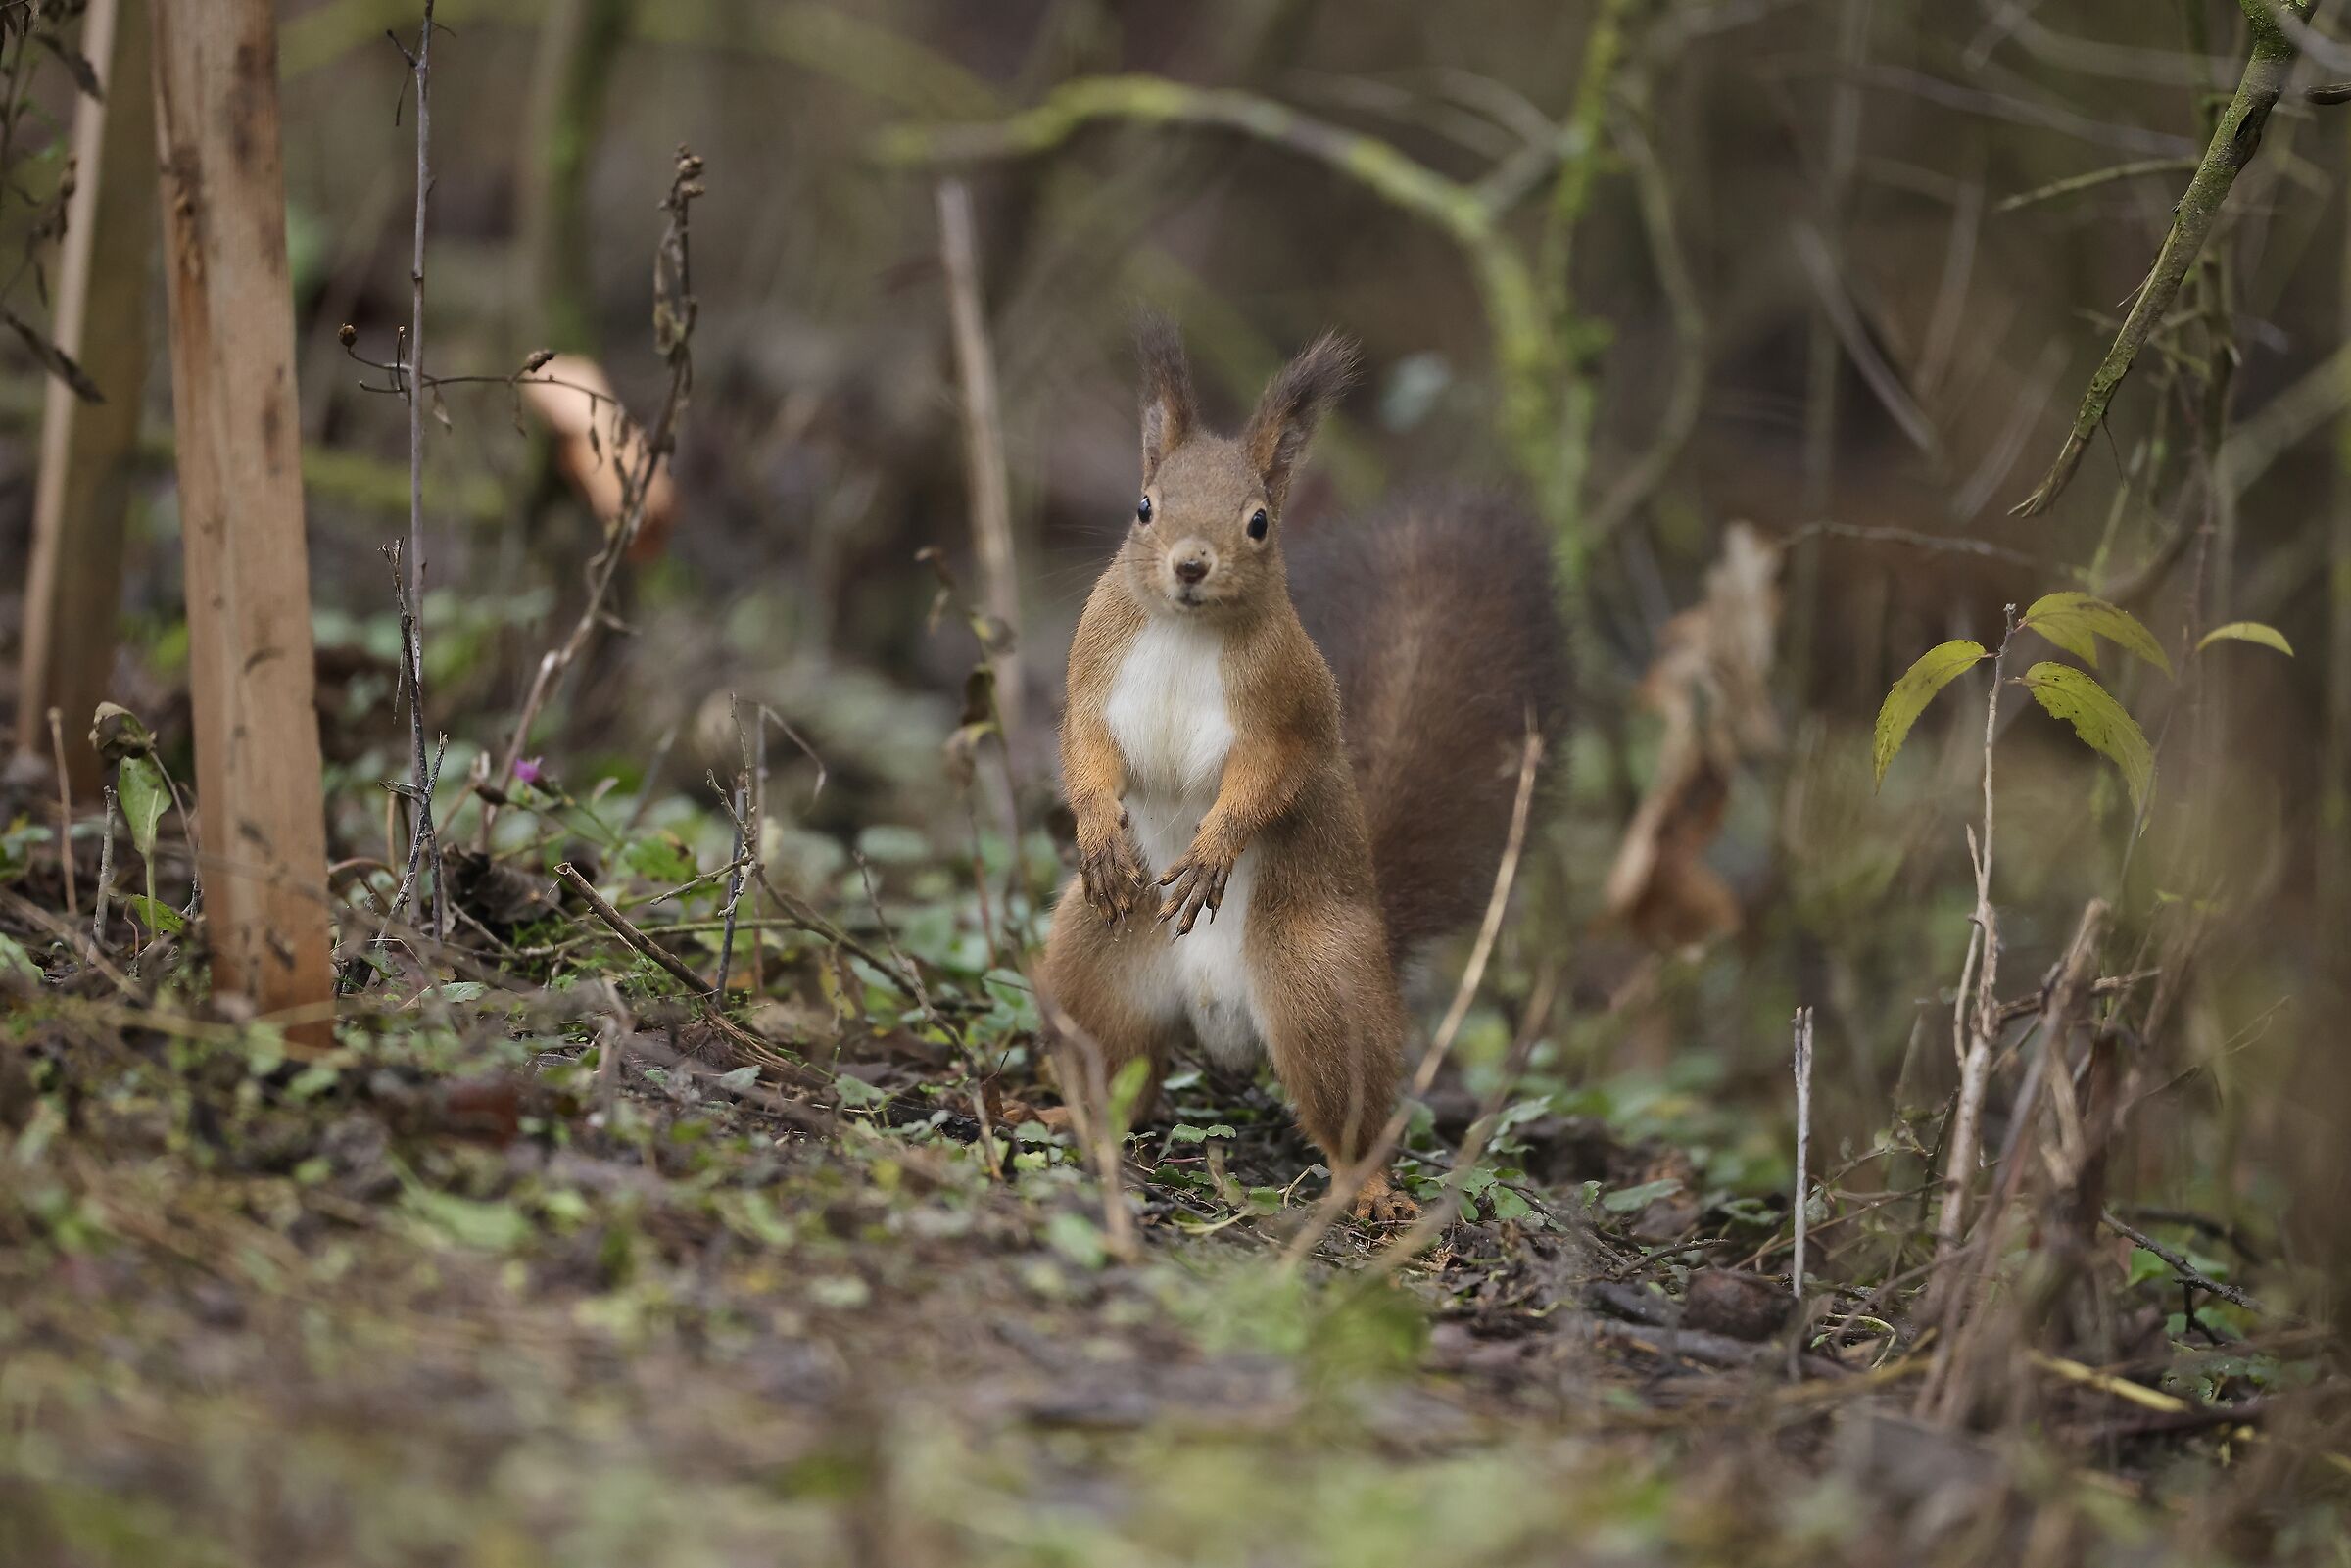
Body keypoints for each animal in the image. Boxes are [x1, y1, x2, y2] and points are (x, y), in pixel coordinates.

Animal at [1039, 316, 1567, 1220]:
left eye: (1258, 523)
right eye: (1144, 507)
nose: (1190, 563)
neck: (1184, 630)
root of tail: (1218, 1019)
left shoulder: (1290, 715)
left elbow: (1269, 780)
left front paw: (1215, 845)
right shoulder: (1092, 682)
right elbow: (1086, 754)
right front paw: (1100, 832)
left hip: (1321, 983)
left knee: (1349, 1103)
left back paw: (1371, 1188)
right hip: (1094, 962)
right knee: (1112, 1066)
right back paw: (1065, 1111)